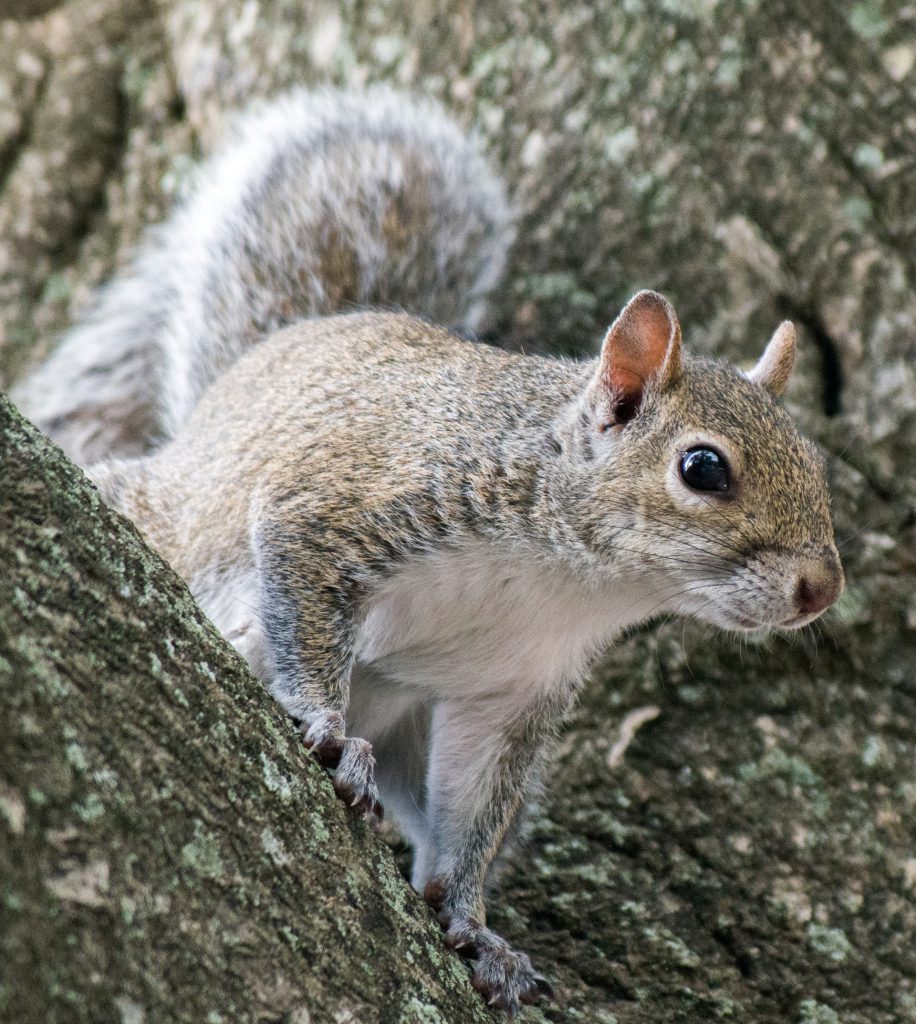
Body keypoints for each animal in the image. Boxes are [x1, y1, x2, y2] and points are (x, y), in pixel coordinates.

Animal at [14, 86, 844, 1016]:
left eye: (816, 462)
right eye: (703, 469)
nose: (823, 588)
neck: (568, 581)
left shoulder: (514, 688)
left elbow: (474, 808)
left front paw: (474, 924)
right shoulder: (348, 507)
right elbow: (304, 604)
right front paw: (326, 730)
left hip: (409, 715)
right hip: (176, 513)